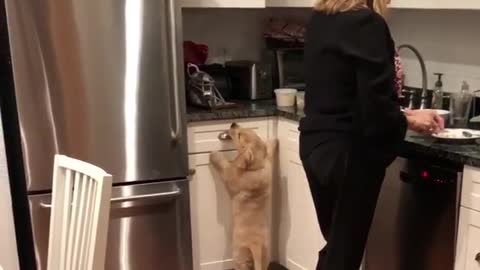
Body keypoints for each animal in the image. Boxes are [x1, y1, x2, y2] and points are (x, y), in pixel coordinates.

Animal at [210, 123, 278, 270]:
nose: (233, 124)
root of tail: (256, 246)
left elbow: (225, 164)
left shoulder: (230, 173)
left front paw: (214, 154)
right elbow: (269, 152)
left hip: (238, 257)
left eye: (239, 135)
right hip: (265, 256)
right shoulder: (267, 164)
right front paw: (274, 140)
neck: (256, 168)